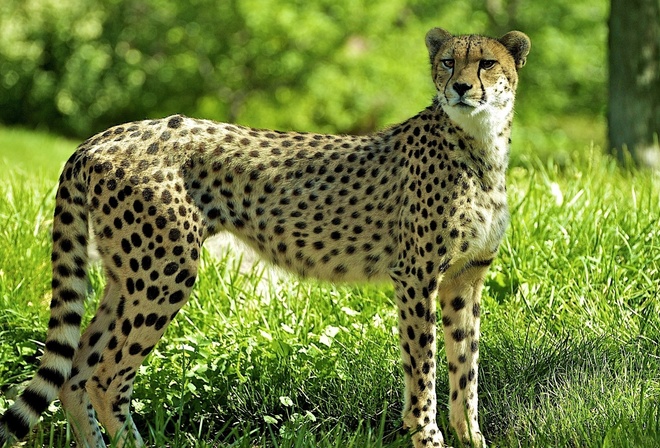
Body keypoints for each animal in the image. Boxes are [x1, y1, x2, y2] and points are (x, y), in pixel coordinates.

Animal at [0, 27, 530, 448]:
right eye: (448, 61)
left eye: (486, 62)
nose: (460, 87)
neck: (480, 143)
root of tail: (104, 135)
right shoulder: (416, 277)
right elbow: (425, 372)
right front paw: (429, 436)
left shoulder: (464, 279)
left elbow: (466, 371)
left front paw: (472, 438)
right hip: (165, 272)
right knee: (107, 378)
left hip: (127, 274)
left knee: (76, 372)